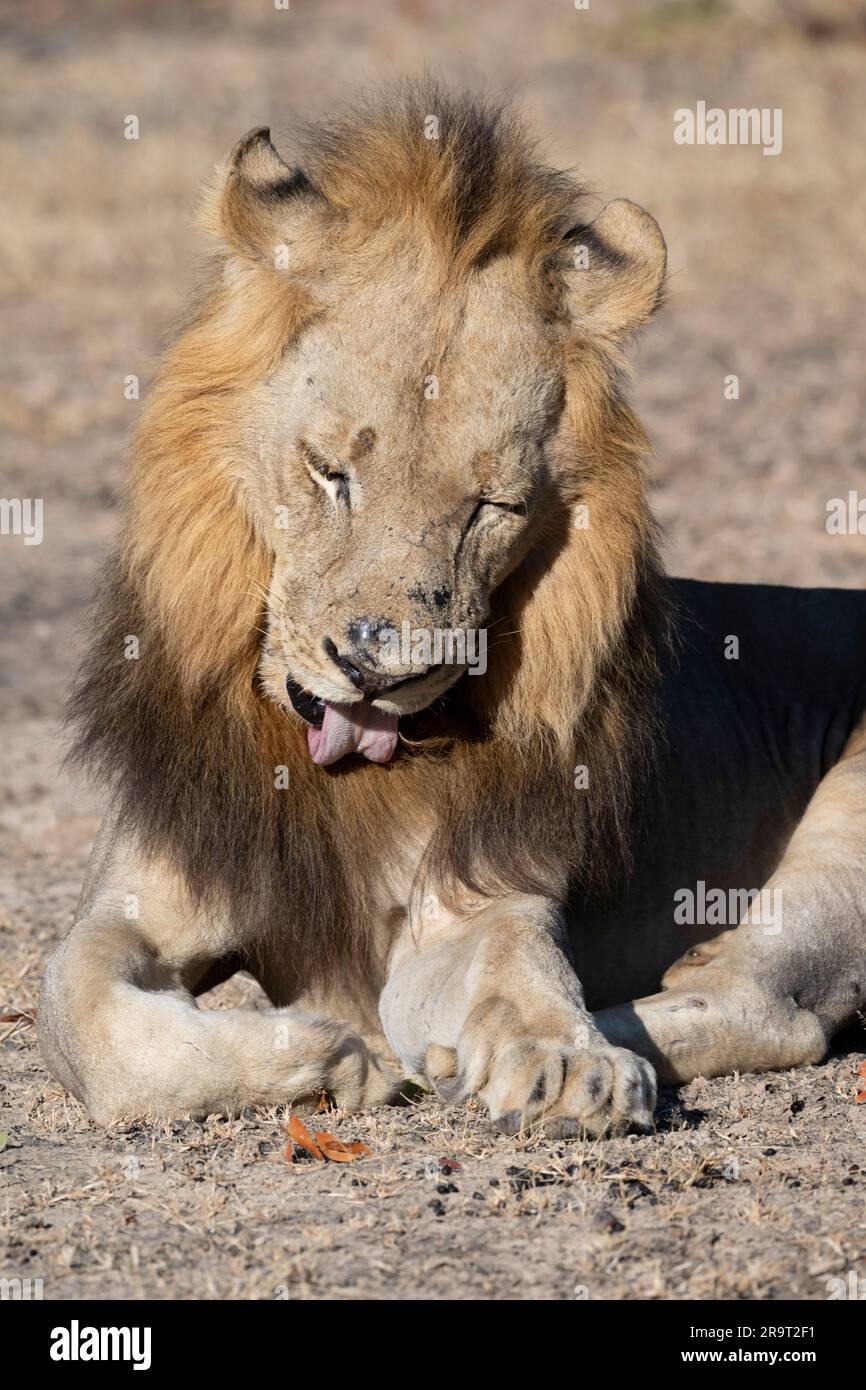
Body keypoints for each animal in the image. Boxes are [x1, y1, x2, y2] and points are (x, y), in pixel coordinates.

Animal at [39, 83, 866, 1135]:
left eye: (491, 508)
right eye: (330, 472)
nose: (381, 672)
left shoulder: (478, 894)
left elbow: (516, 962)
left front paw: (560, 1061)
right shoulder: (129, 902)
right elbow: (84, 1014)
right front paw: (327, 1061)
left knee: (766, 1005)